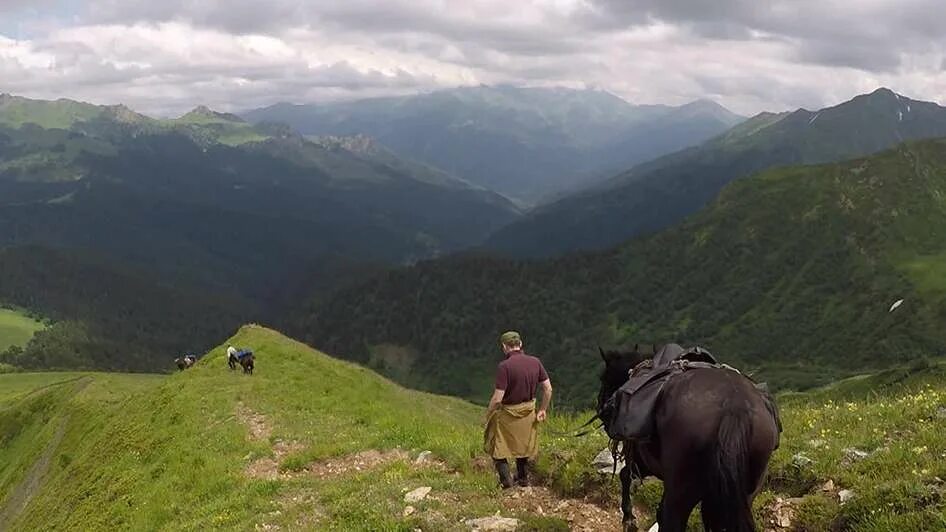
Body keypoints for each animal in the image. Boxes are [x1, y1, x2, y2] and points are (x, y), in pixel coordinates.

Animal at [592, 348, 780, 528]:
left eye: (603, 377)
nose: (601, 407)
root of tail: (734, 405)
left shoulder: (641, 461)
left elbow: (625, 475)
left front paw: (629, 519)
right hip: (746, 491)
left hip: (680, 491)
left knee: (671, 519)